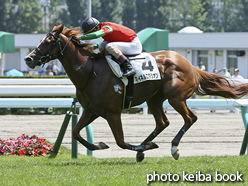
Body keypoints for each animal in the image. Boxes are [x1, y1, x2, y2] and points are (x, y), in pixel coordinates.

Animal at [24, 24, 248, 161]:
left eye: (49, 40)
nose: (28, 59)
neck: (90, 72)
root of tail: (191, 65)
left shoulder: (113, 113)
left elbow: (121, 142)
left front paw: (142, 149)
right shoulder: (91, 110)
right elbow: (75, 132)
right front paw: (99, 146)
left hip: (175, 97)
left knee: (190, 118)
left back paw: (173, 148)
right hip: (155, 99)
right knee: (162, 122)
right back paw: (145, 146)